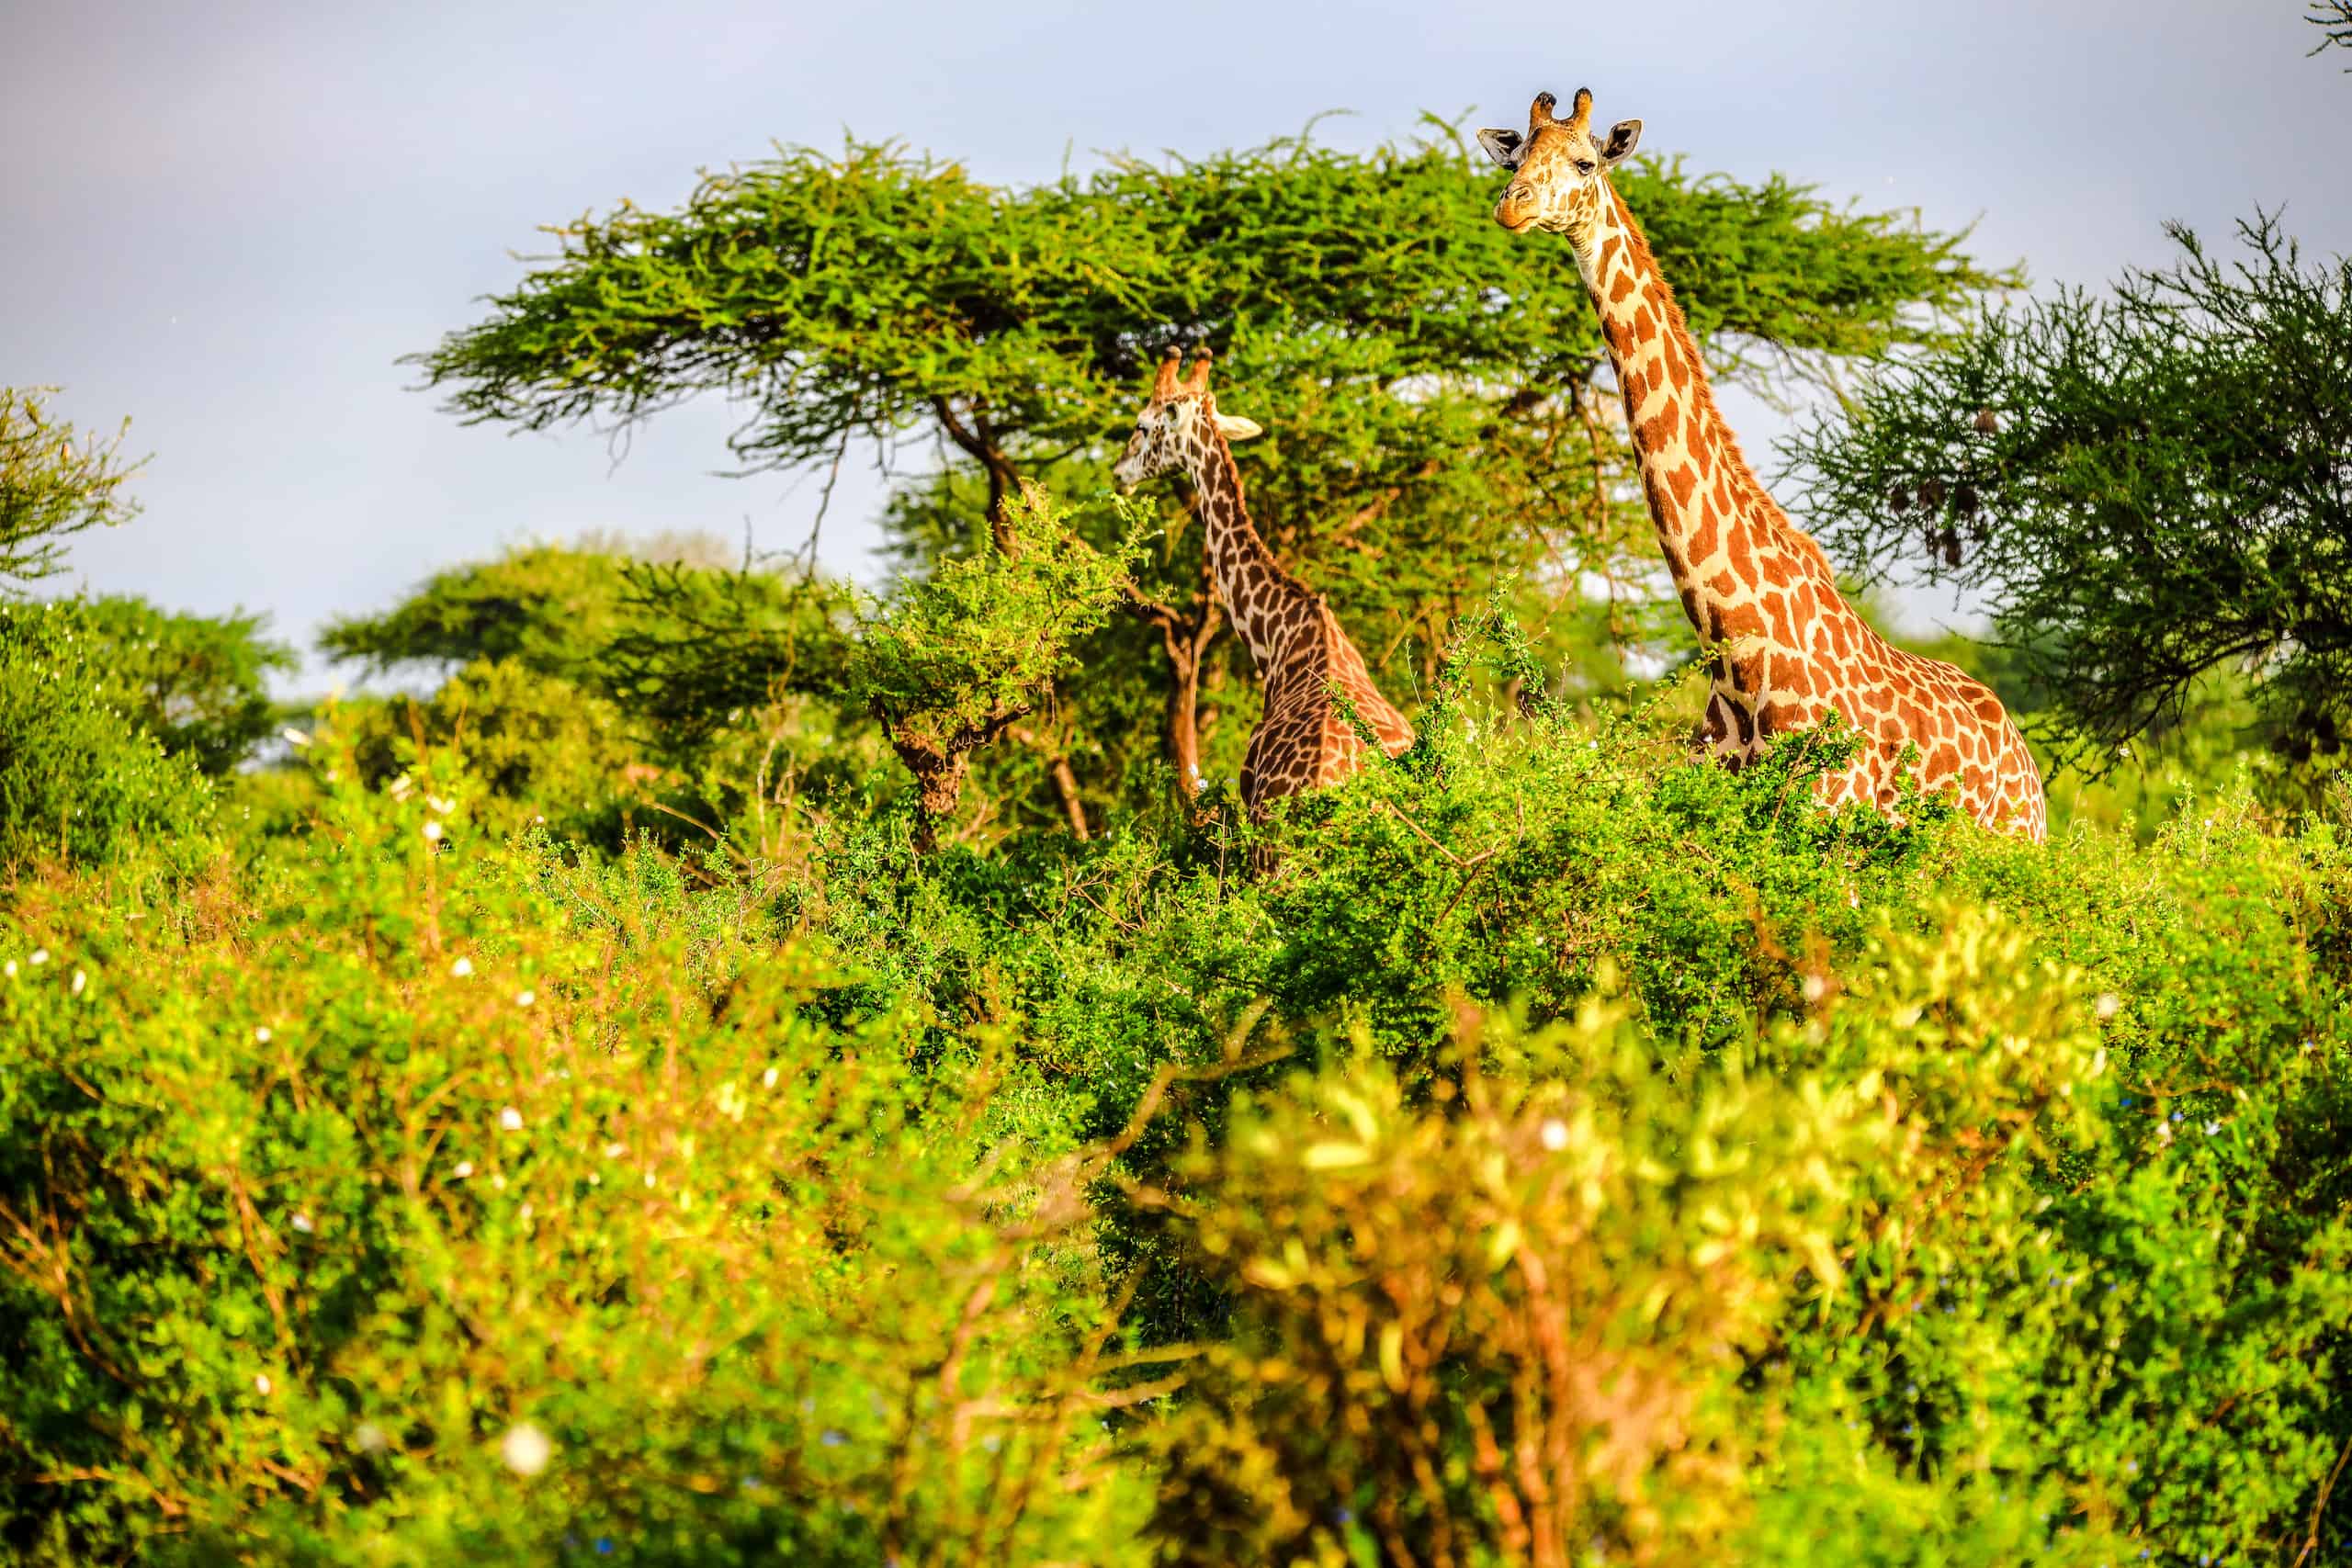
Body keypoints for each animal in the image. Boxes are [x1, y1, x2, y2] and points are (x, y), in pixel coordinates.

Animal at [1476, 90, 2051, 841]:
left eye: (1583, 161)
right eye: (1514, 158)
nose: (1510, 206)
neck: (1739, 660)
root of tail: (2031, 773)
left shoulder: (1827, 823)